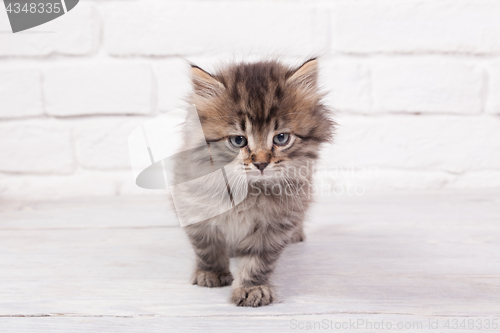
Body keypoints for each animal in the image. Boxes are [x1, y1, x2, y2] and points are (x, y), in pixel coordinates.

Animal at [174, 57, 334, 306]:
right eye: (238, 141)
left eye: (281, 138)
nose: (260, 163)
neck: (247, 192)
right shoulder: (193, 210)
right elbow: (207, 248)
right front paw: (210, 273)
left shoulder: (276, 224)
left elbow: (258, 262)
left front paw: (251, 289)